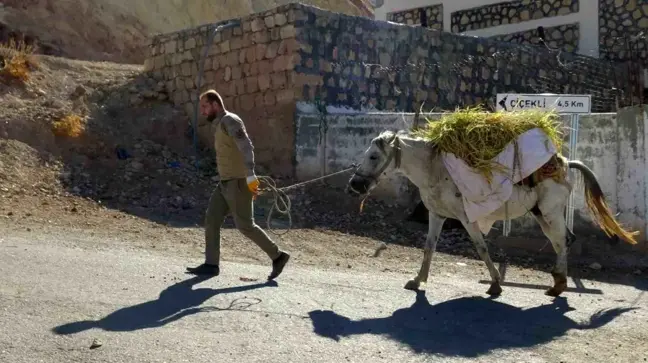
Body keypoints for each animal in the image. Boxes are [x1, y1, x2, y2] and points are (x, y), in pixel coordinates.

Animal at [346, 129, 636, 298]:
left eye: (373, 156)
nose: (355, 185)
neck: (436, 170)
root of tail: (565, 163)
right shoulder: (437, 216)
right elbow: (429, 248)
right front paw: (418, 281)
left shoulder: (467, 218)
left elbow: (481, 247)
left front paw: (496, 283)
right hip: (542, 214)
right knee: (563, 240)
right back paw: (557, 283)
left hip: (550, 212)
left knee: (561, 241)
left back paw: (557, 287)